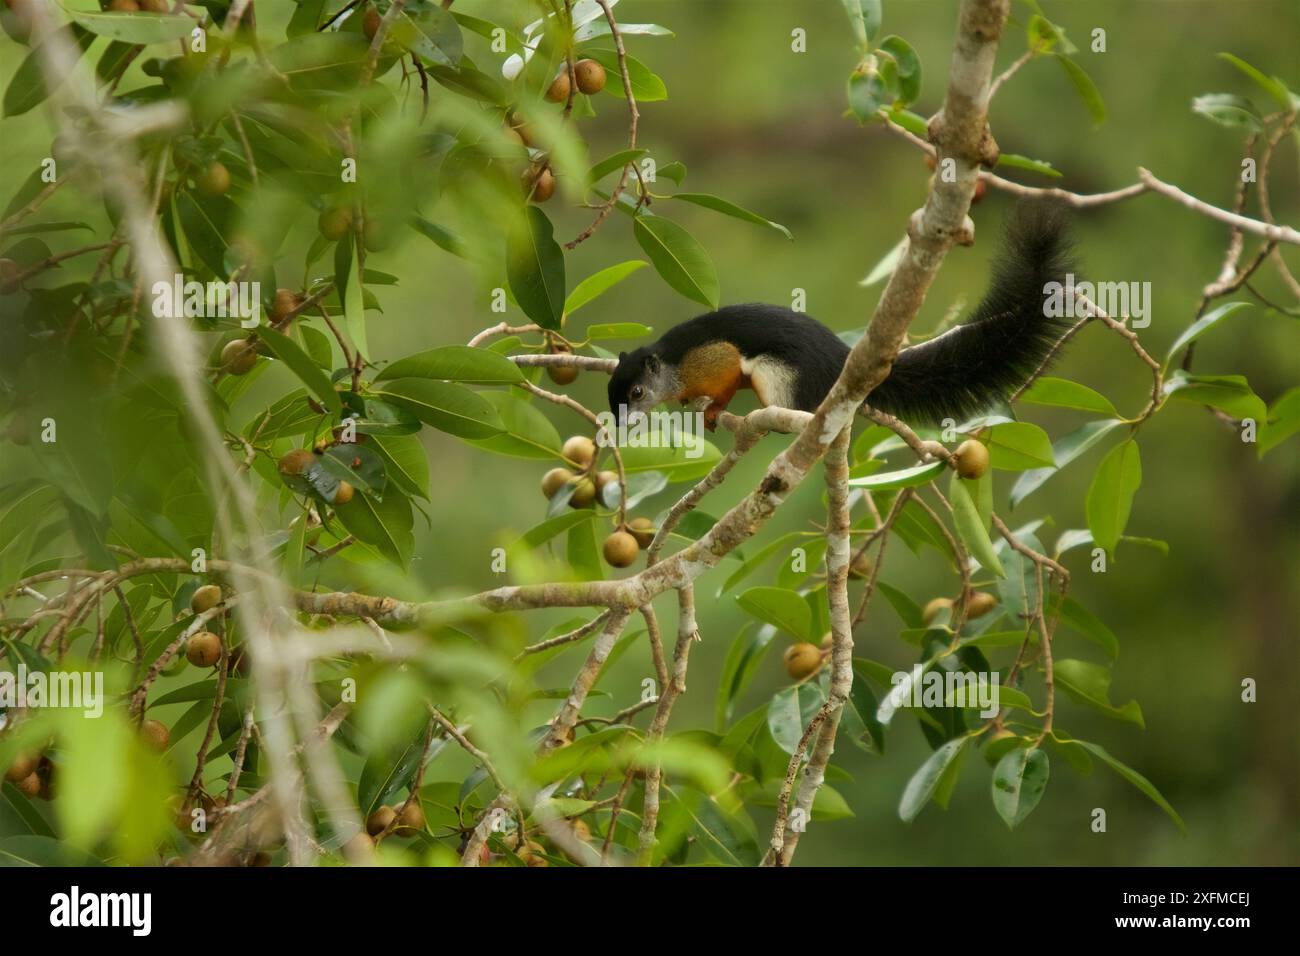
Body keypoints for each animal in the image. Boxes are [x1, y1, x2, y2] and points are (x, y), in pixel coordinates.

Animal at [608, 202, 1075, 430]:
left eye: (636, 393)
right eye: (612, 399)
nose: (621, 426)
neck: (672, 366)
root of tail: (840, 360)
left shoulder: (709, 357)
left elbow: (724, 374)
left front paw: (712, 408)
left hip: (782, 377)